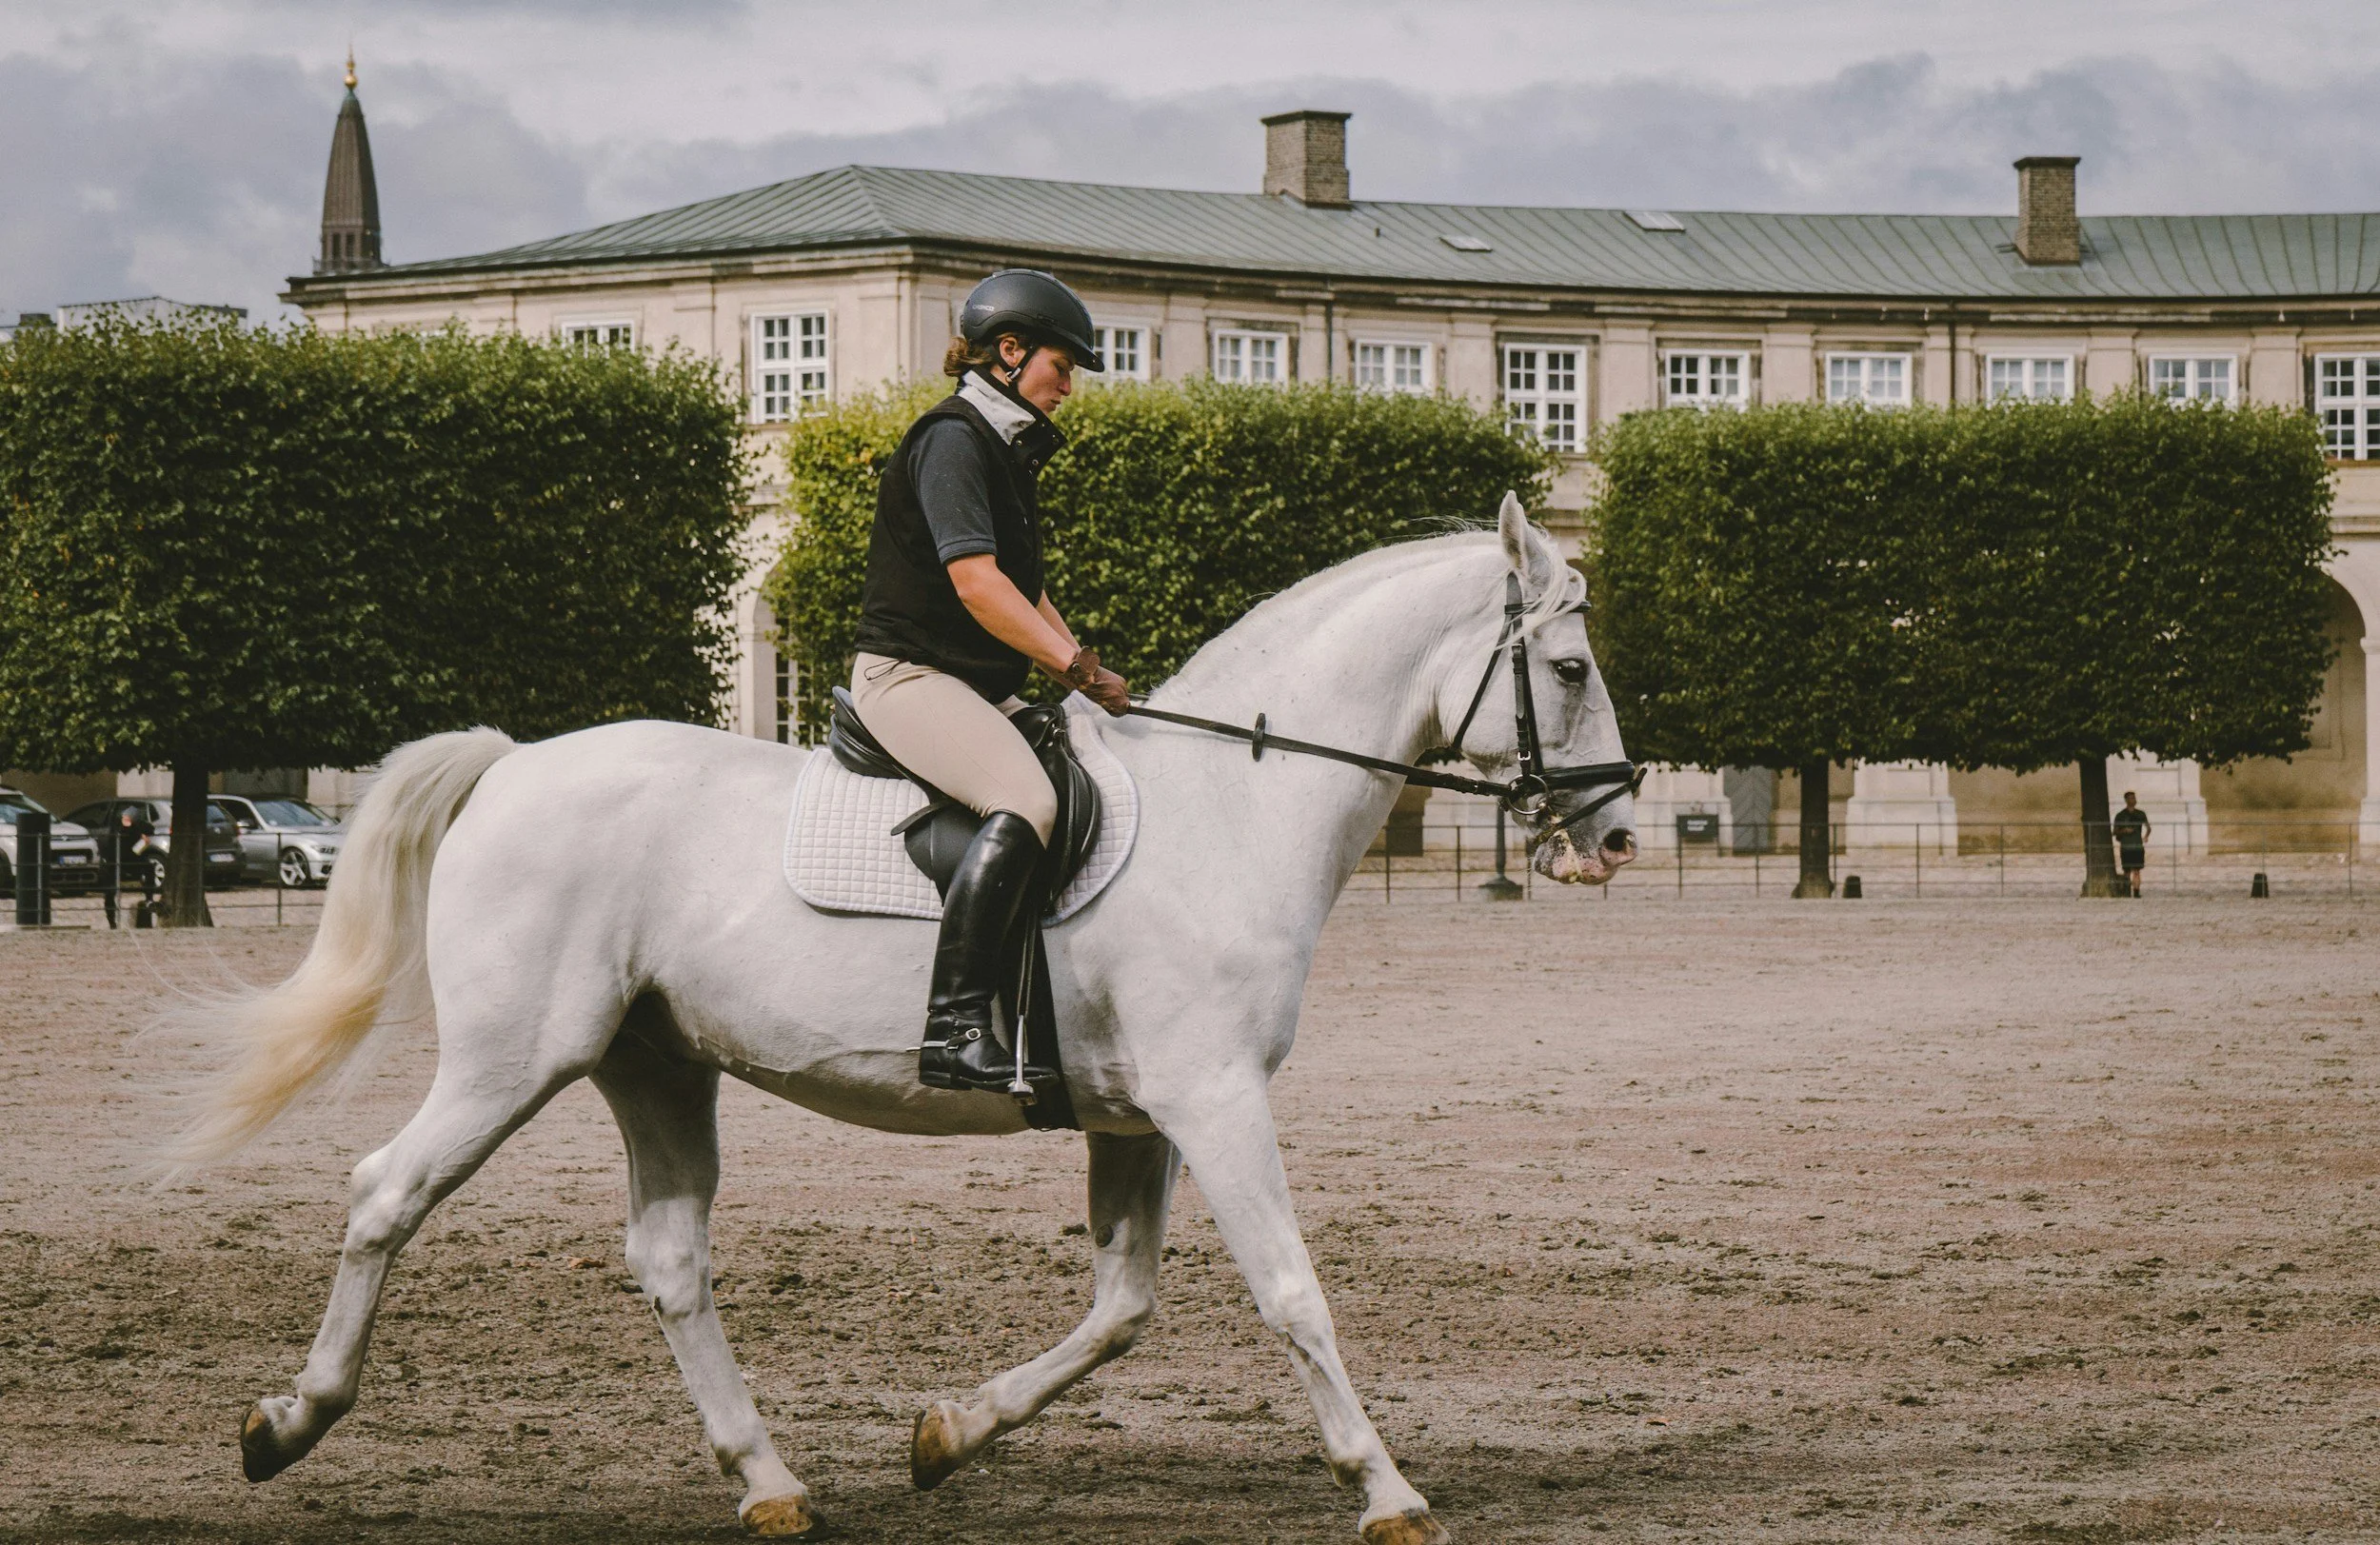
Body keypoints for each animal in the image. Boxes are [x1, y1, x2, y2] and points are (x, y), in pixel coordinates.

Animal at [179, 495, 1638, 1544]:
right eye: (1569, 668)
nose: (1620, 834)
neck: (1234, 802)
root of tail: (514, 760)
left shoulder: (1138, 1115)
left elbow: (1120, 1305)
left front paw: (949, 1432)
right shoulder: (1216, 1095)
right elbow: (1291, 1290)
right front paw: (1386, 1487)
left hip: (656, 1065)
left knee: (670, 1257)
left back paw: (769, 1479)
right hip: (512, 1060)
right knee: (385, 1192)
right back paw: (288, 1422)